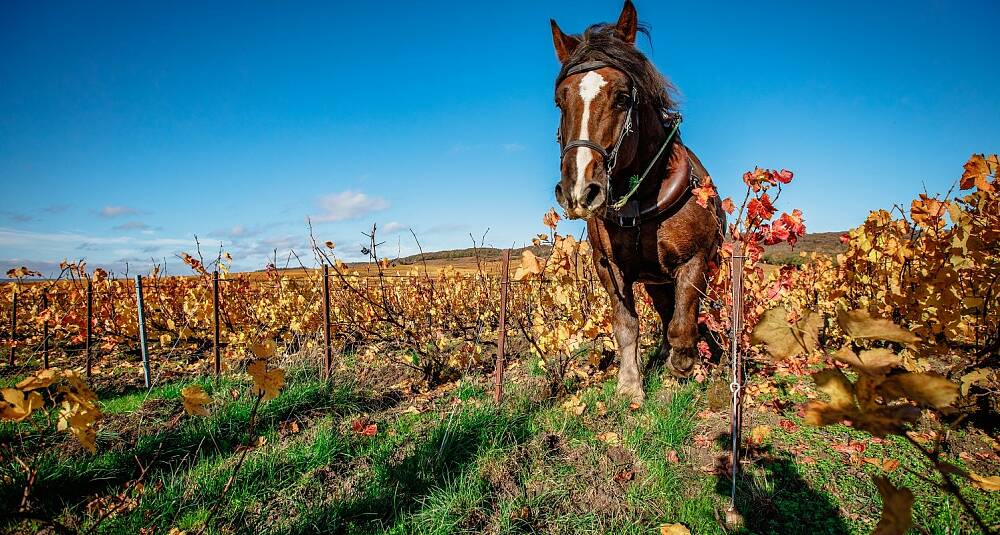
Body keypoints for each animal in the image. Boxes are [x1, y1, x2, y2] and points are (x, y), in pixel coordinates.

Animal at [552, 0, 724, 402]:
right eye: (560, 101)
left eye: (622, 97)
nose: (579, 190)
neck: (639, 204)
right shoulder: (609, 267)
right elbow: (626, 324)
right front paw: (630, 386)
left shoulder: (694, 261)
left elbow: (683, 323)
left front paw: (683, 366)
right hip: (654, 280)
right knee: (664, 310)